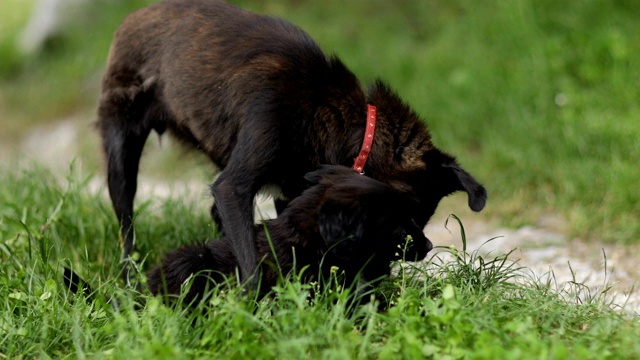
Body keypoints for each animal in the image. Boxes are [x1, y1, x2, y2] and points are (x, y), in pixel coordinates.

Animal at [99, 0, 484, 286]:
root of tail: (136, 15)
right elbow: (251, 268)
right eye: (403, 211)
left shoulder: (291, 195)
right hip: (120, 153)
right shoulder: (233, 188)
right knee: (126, 232)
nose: (428, 246)